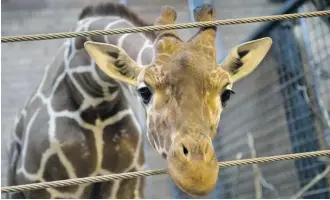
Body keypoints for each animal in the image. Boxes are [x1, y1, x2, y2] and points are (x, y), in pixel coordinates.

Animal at [5, 1, 274, 198]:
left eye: (226, 93)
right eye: (144, 91)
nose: (197, 174)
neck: (93, 96)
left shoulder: (127, 182)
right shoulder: (50, 187)